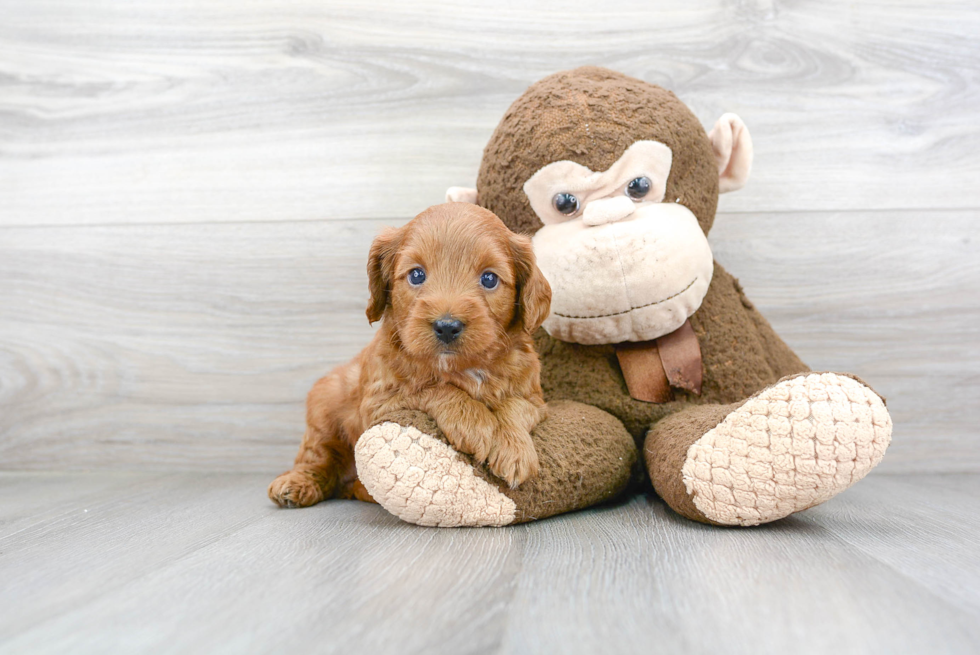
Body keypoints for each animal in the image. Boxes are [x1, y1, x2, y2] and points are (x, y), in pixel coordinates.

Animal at [268, 202, 552, 510]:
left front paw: (515, 450)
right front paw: (476, 423)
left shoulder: (535, 398)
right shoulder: (378, 402)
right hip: (325, 402)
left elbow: (515, 406)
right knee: (317, 455)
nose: (447, 326)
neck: (461, 367)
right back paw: (296, 483)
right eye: (417, 275)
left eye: (489, 279)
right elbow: (430, 389)